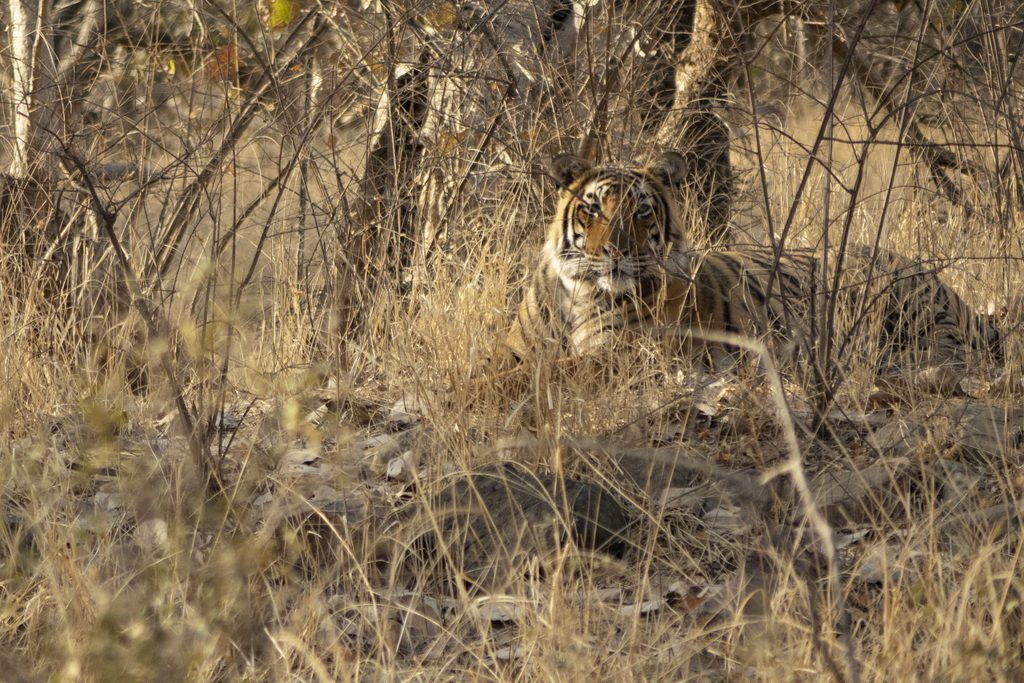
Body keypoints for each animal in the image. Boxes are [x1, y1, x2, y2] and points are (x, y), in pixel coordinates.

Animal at [502, 152, 1003, 393]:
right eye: (593, 209)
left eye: (641, 211)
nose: (615, 252)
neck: (576, 291)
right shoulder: (518, 348)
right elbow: (506, 366)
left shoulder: (622, 355)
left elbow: (544, 372)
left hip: (904, 311)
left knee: (948, 360)